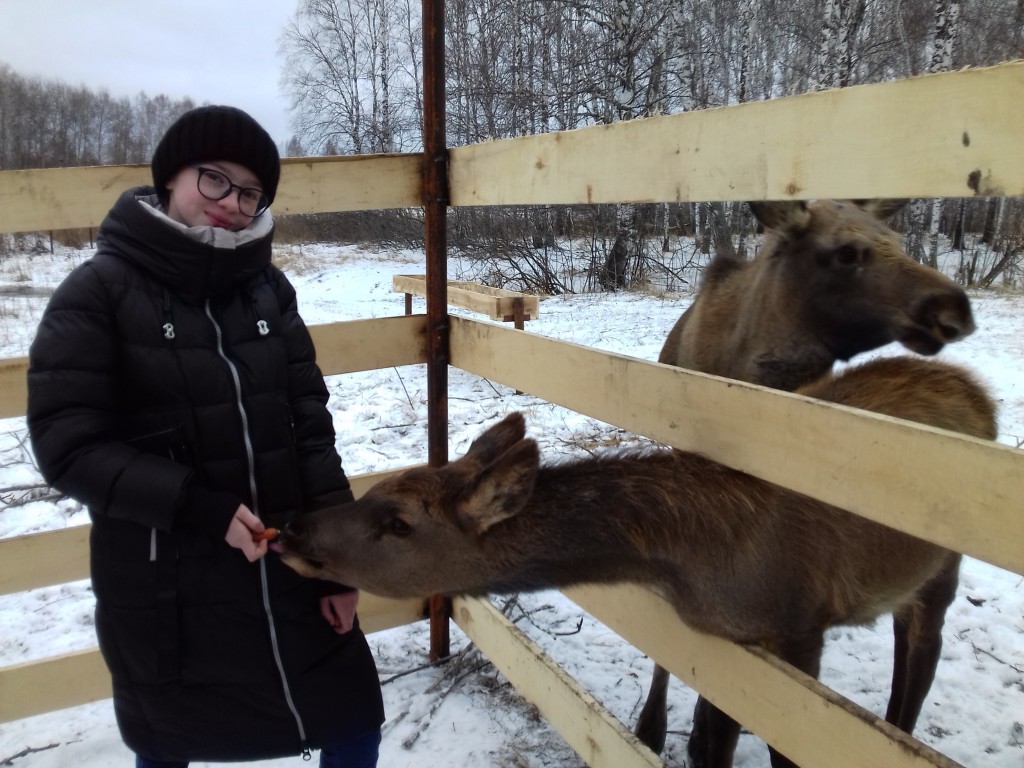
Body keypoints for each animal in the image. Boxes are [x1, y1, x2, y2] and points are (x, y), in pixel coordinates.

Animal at [278, 355, 996, 768]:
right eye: (374, 492)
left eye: (398, 522)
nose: (292, 526)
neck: (707, 564)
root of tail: (978, 390)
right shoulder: (730, 650)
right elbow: (713, 742)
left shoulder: (800, 627)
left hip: (943, 566)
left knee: (920, 653)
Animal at [650, 198, 979, 765]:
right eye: (845, 252)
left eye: (898, 238)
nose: (952, 305)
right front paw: (657, 729)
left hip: (938, 566)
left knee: (919, 645)